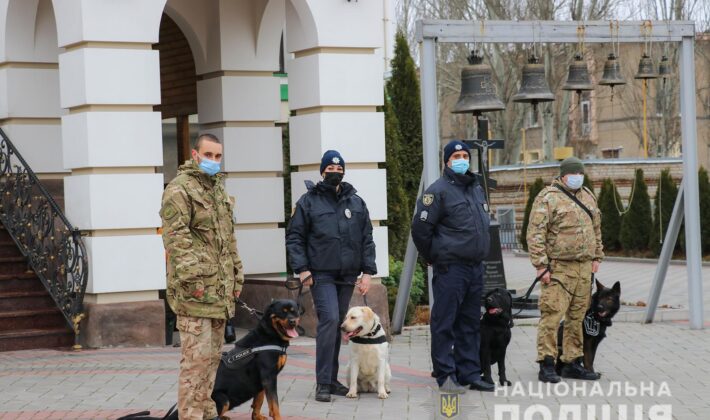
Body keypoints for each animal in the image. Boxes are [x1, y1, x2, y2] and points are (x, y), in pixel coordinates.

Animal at [118, 298, 302, 420]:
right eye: (282, 312)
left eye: (294, 311)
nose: (293, 322)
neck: (270, 334)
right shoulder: (268, 376)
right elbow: (274, 404)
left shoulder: (262, 380)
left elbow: (259, 400)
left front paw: (257, 416)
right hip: (222, 398)